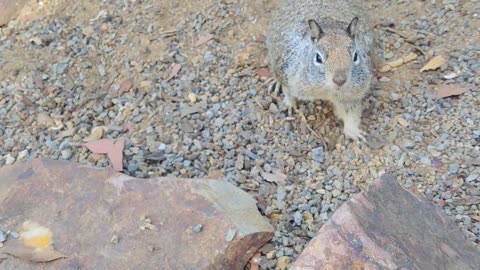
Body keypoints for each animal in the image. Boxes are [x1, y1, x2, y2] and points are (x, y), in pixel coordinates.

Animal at [266, 0, 376, 141]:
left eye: (356, 56)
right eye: (318, 57)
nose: (339, 80)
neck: (326, 91)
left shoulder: (351, 94)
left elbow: (351, 113)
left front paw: (353, 131)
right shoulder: (288, 73)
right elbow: (288, 91)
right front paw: (289, 104)